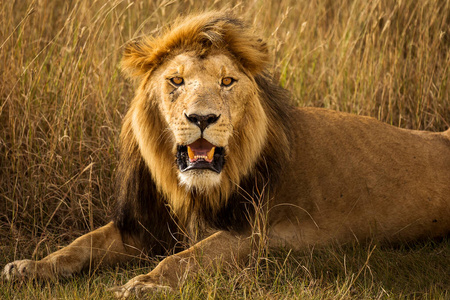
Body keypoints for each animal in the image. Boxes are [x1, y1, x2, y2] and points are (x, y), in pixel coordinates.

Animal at [3, 9, 450, 298]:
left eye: (227, 81)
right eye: (176, 80)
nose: (202, 117)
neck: (190, 189)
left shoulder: (255, 232)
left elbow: (189, 257)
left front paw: (146, 283)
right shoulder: (146, 226)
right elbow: (80, 244)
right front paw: (29, 267)